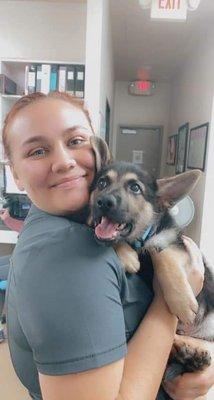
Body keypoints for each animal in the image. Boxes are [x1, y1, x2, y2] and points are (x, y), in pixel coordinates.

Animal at [89, 136, 213, 380]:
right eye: (102, 183)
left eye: (135, 187)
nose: (104, 202)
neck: (139, 240)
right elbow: (107, 238)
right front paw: (127, 256)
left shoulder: (176, 244)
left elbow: (162, 255)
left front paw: (182, 302)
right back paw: (191, 357)